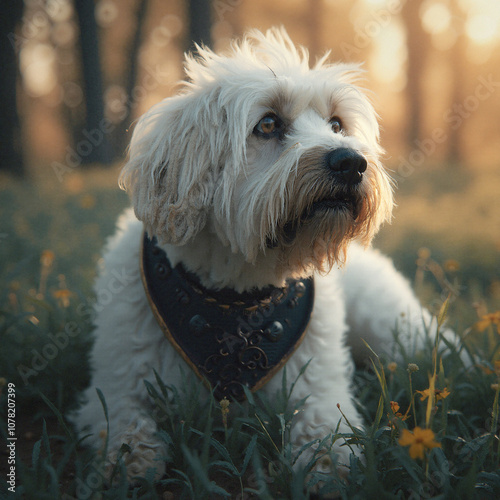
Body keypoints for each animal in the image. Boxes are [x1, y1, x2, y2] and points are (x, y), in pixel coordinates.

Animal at [73, 28, 434, 480]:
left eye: (337, 123)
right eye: (268, 124)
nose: (352, 162)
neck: (238, 293)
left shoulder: (317, 384)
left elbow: (324, 424)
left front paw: (328, 462)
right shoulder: (116, 382)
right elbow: (123, 421)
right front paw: (131, 460)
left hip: (395, 327)